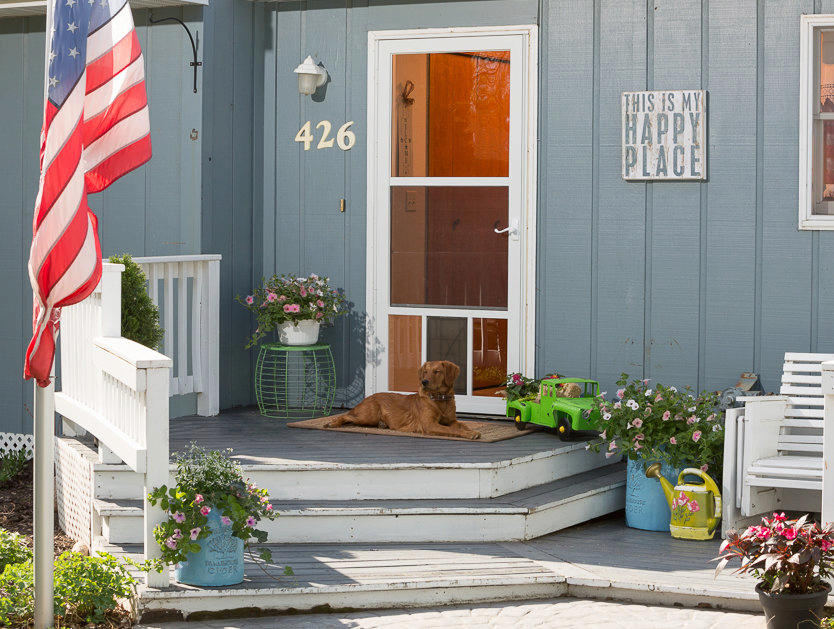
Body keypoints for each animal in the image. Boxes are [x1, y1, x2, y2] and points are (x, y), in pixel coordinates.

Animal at [324, 360, 480, 440]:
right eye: (425, 372)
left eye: (437, 371)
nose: (424, 381)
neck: (440, 399)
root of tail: (367, 397)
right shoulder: (429, 424)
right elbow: (453, 430)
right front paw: (470, 434)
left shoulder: (452, 421)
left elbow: (462, 425)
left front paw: (471, 430)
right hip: (368, 415)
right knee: (346, 415)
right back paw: (332, 422)